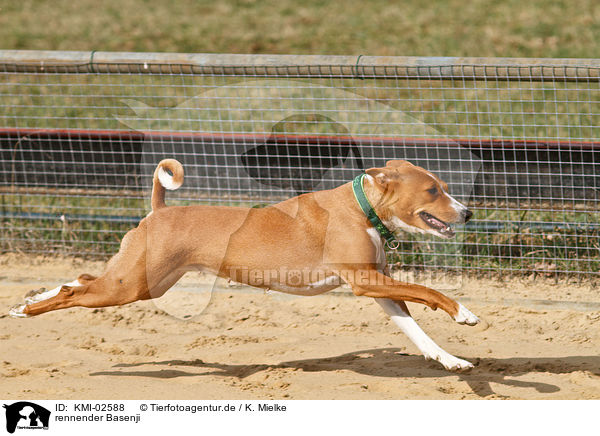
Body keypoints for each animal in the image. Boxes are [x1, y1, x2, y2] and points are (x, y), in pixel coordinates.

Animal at [10, 160, 478, 372]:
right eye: (433, 190)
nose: (468, 212)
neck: (361, 209)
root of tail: (160, 211)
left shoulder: (378, 289)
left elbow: (417, 332)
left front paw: (451, 361)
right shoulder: (365, 281)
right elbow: (430, 292)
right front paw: (463, 313)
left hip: (143, 281)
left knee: (80, 279)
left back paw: (28, 299)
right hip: (133, 286)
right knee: (75, 292)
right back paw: (26, 310)